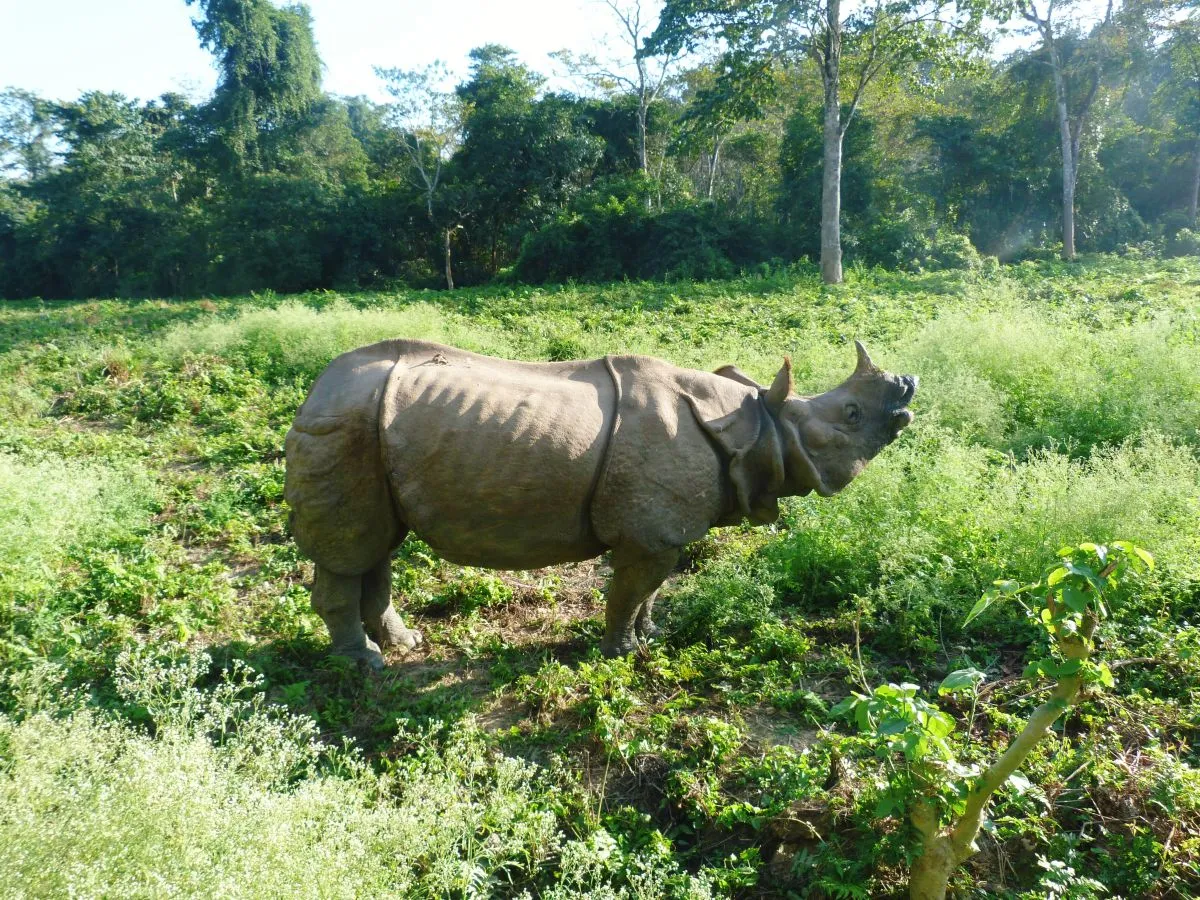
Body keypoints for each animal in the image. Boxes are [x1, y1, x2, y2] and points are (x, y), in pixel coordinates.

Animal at [284, 339, 916, 668]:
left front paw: (650, 637)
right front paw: (619, 655)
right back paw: (365, 665)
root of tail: (316, 387)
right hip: (345, 424)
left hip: (367, 429)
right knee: (352, 550)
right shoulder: (650, 533)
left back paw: (404, 645)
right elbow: (629, 591)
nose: (908, 385)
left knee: (376, 547)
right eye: (851, 416)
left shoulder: (662, 531)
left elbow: (650, 591)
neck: (755, 425)